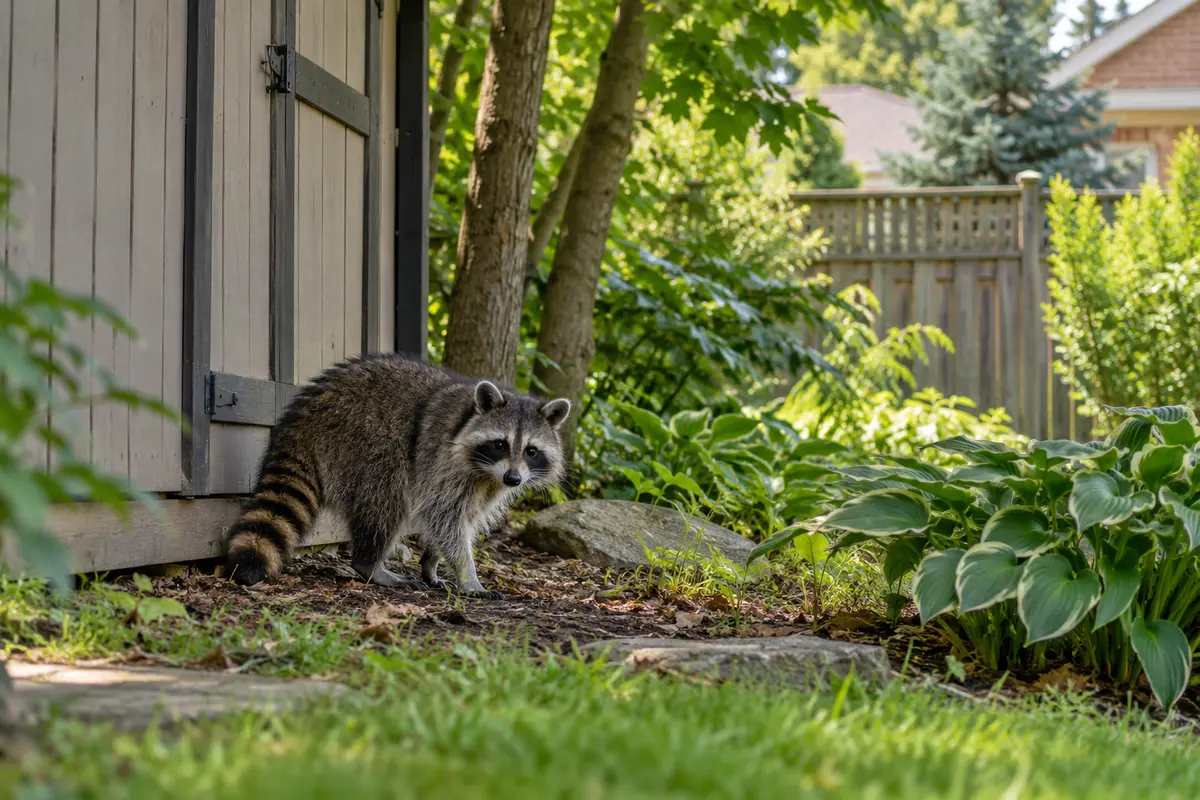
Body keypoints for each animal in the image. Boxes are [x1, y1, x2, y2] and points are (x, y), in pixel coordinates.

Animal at [221, 353, 570, 598]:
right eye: (500, 444)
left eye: (531, 451)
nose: (513, 479)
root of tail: (303, 417)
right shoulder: (442, 459)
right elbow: (442, 515)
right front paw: (468, 575)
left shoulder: (488, 483)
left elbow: (460, 519)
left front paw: (432, 562)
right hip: (361, 441)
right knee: (386, 500)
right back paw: (369, 564)